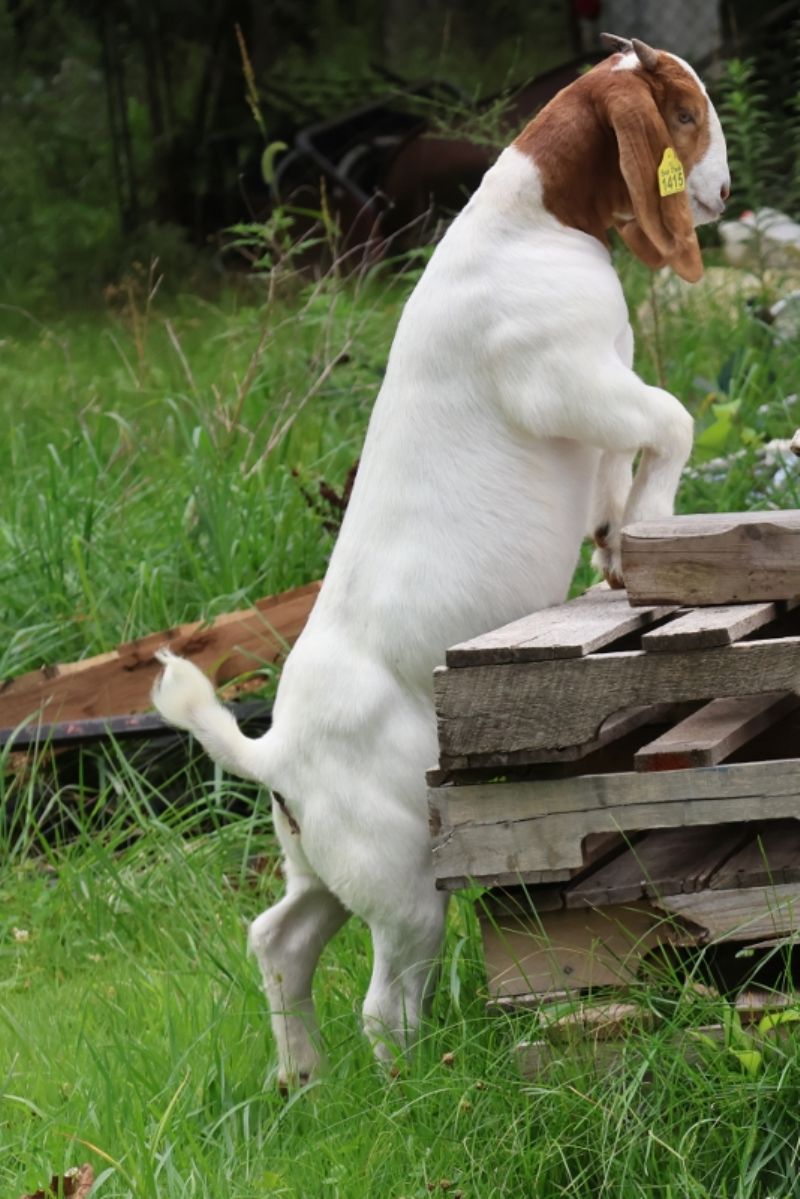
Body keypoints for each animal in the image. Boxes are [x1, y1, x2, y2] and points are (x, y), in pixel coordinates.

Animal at [153, 35, 729, 1087]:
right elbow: (670, 419)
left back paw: (302, 1083)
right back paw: (423, 1087)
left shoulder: (597, 401)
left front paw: (617, 550)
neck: (528, 224)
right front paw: (652, 529)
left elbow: (616, 473)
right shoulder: (570, 382)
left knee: (280, 938)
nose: (722, 191)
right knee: (386, 1003)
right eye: (684, 113)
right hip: (404, 875)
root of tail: (274, 750)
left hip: (324, 863)